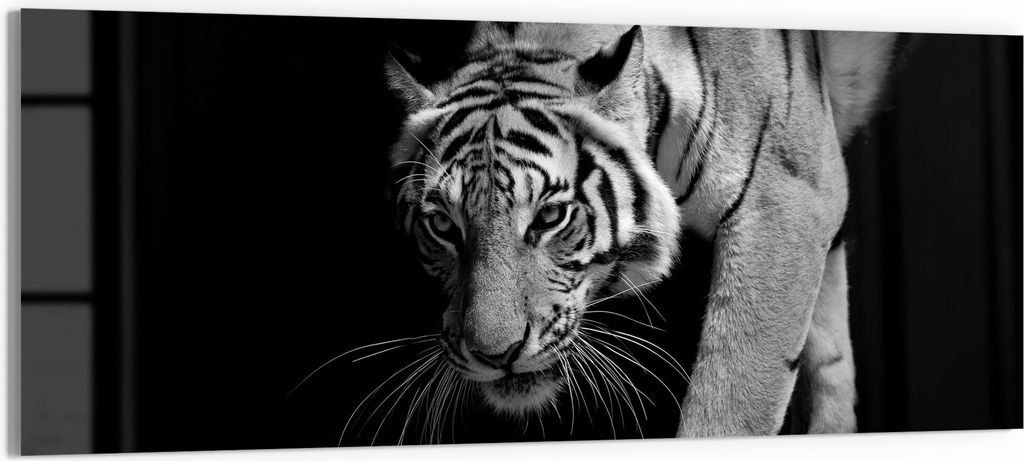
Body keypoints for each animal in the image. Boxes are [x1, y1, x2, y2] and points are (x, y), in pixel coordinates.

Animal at [383, 21, 898, 437]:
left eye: (550, 217)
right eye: (442, 224)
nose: (495, 355)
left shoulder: (786, 196)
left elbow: (735, 401)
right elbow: (830, 354)